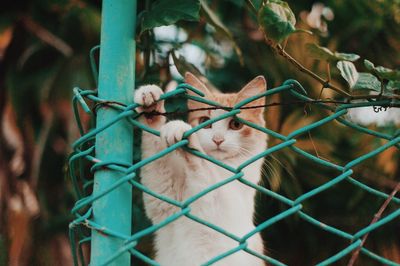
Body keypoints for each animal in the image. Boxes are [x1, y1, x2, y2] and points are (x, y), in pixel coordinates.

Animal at [135, 72, 268, 266]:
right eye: (205, 121)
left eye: (236, 125)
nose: (218, 140)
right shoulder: (163, 197)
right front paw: (151, 104)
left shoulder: (221, 205)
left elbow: (204, 167)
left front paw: (180, 128)